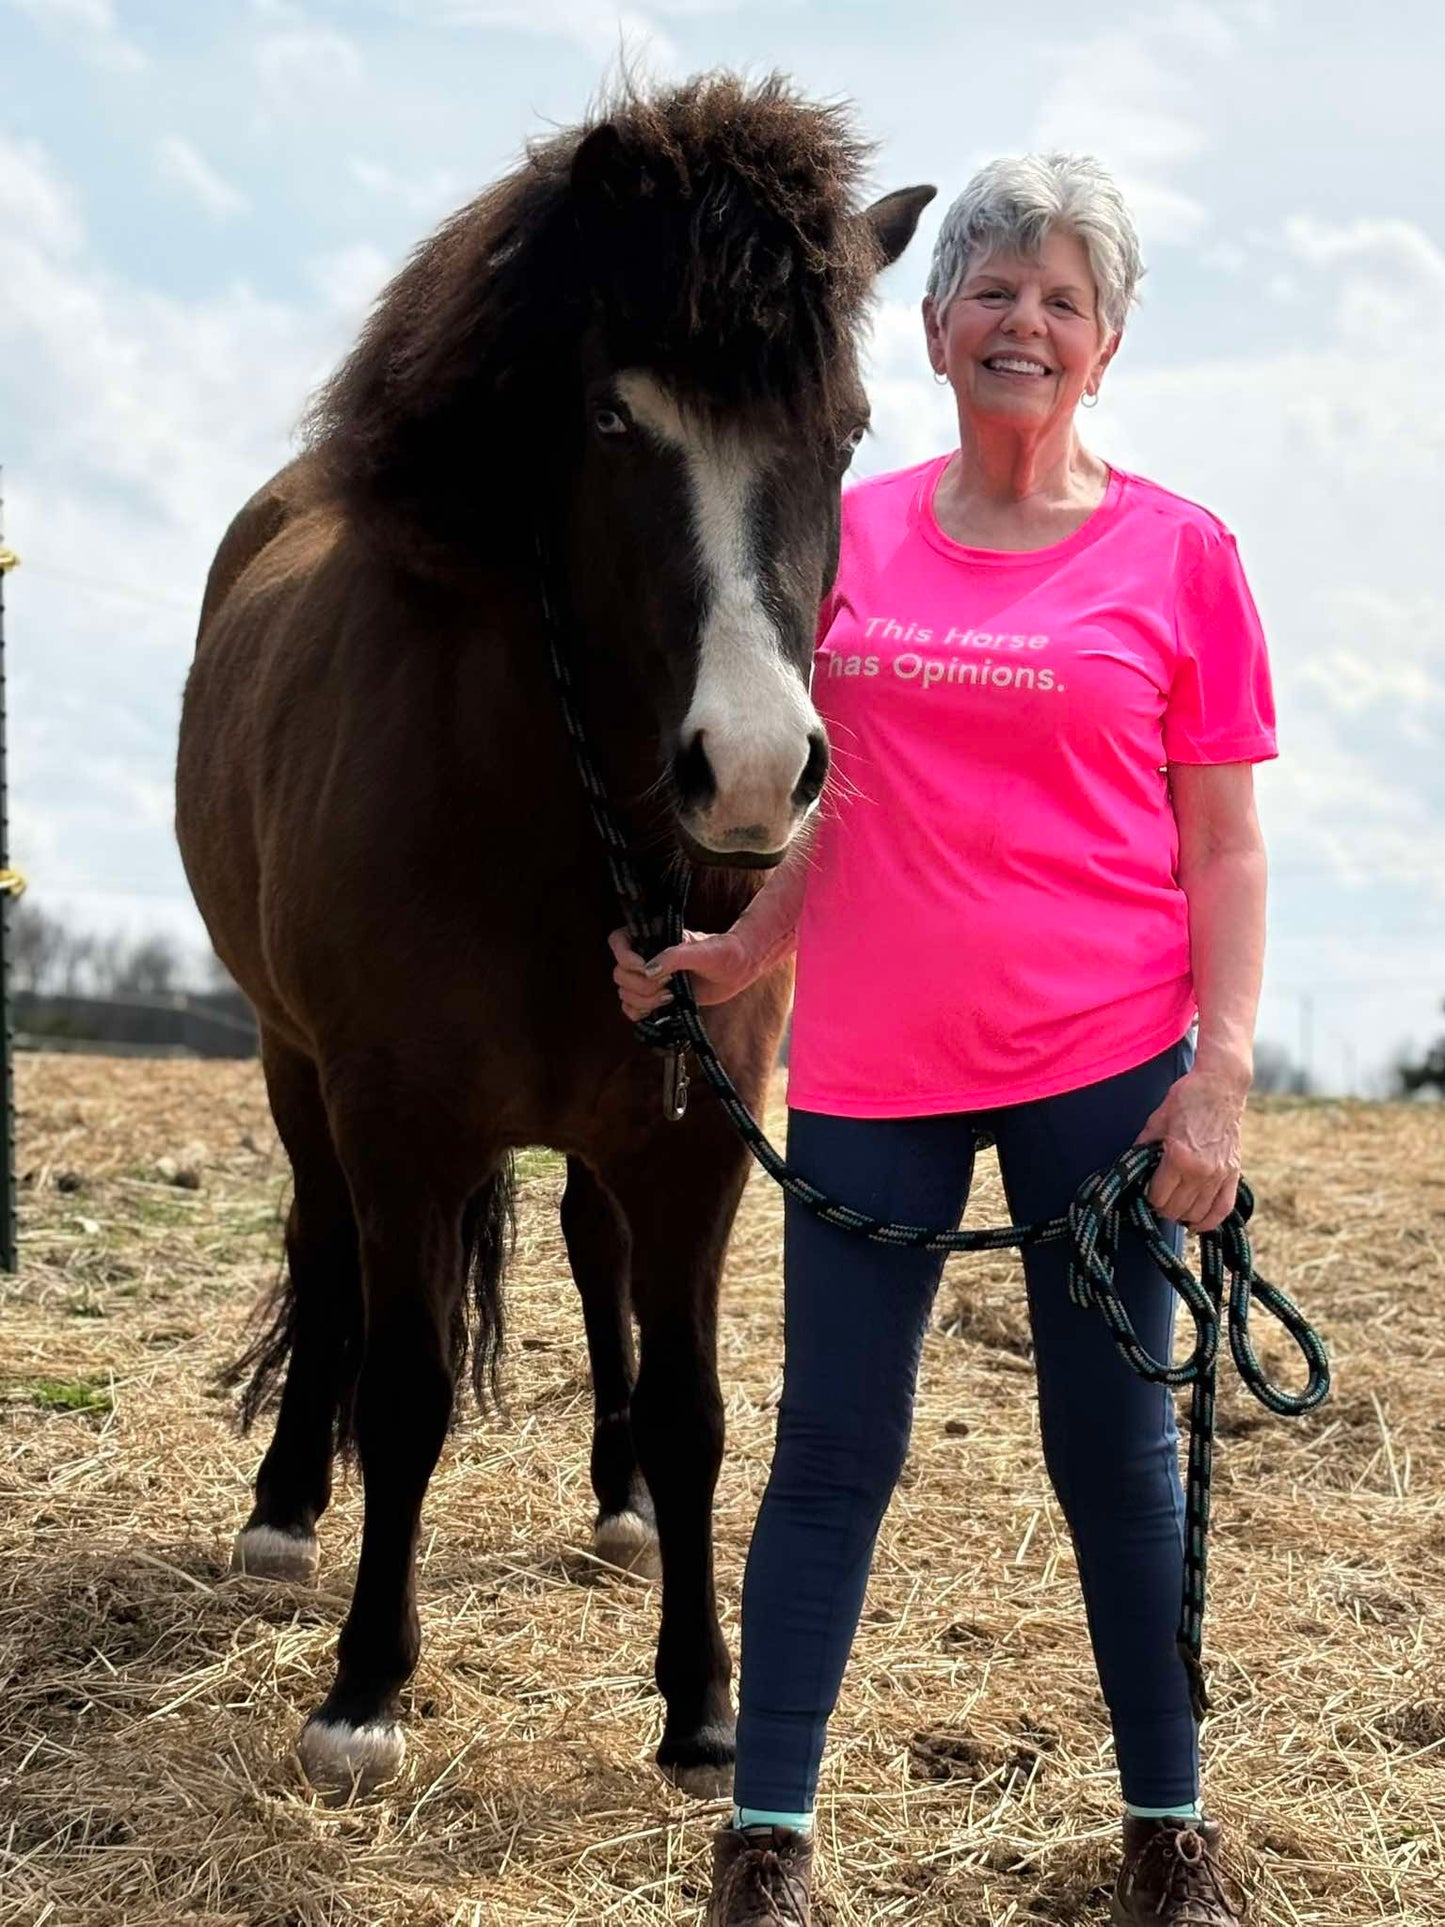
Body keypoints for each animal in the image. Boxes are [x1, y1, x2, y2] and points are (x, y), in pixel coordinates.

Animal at [175, 73, 932, 1798]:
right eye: (608, 422)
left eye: (847, 431)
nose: (751, 771)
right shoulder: (396, 1120)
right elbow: (403, 1390)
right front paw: (364, 1689)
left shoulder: (699, 1130)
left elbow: (698, 1407)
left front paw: (705, 1704)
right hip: (291, 1064)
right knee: (321, 1248)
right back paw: (283, 1513)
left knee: (597, 1263)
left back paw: (618, 1500)